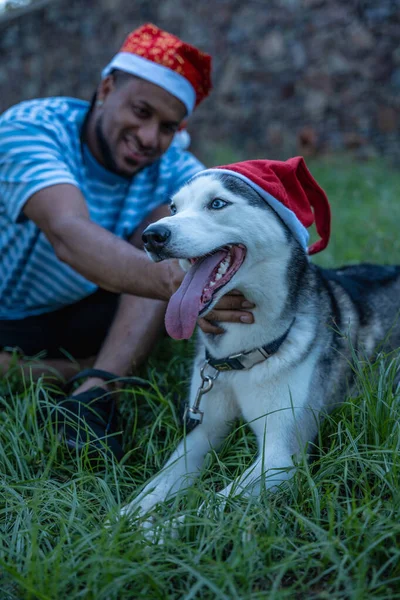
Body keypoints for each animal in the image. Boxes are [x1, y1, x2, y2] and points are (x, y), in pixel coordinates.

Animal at [120, 157, 400, 516]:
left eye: (217, 203)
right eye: (173, 207)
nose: (152, 235)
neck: (237, 358)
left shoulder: (280, 458)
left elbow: (208, 508)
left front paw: (156, 528)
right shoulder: (202, 429)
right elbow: (156, 485)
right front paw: (122, 520)